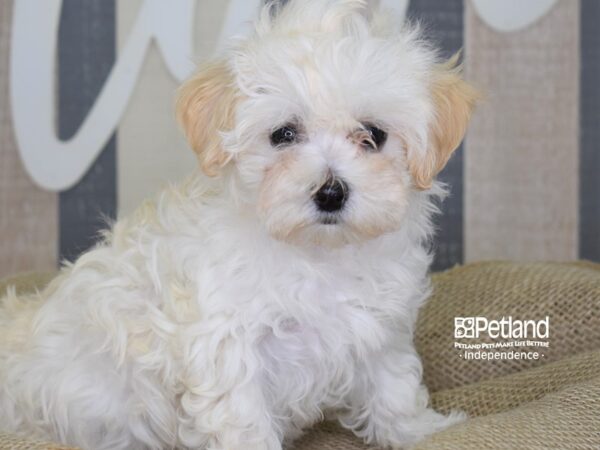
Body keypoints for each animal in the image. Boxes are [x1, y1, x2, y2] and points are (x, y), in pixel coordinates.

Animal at [1, 0, 478, 450]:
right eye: (283, 134)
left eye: (372, 135)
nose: (330, 193)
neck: (318, 255)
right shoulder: (225, 346)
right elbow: (242, 419)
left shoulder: (380, 329)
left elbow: (393, 386)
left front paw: (422, 431)